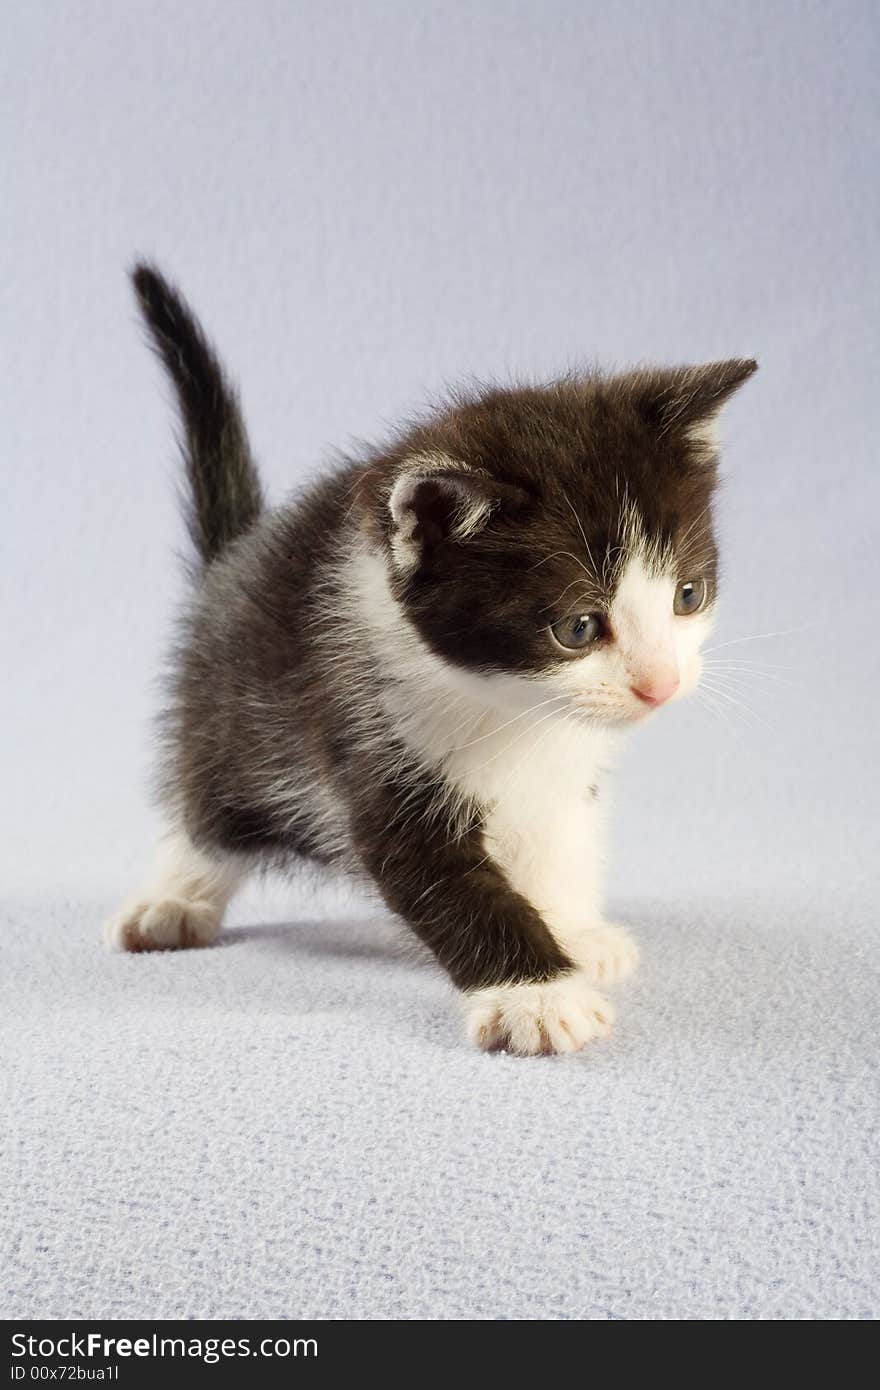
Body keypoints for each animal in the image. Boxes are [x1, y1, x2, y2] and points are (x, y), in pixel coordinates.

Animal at [108, 265, 756, 1056]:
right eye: (577, 627)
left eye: (688, 594)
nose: (660, 684)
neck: (512, 709)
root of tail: (236, 554)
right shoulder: (366, 732)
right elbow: (447, 880)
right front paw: (538, 996)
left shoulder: (567, 771)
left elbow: (561, 835)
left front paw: (573, 930)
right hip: (230, 713)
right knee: (206, 809)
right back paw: (173, 898)